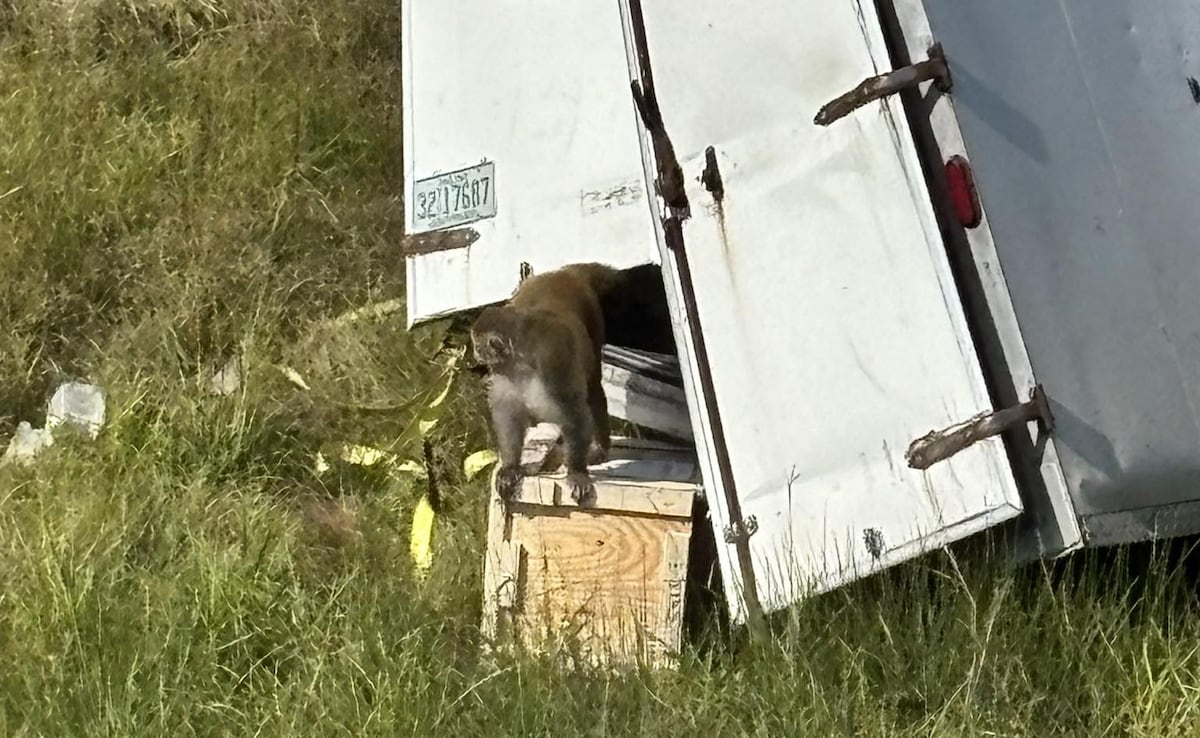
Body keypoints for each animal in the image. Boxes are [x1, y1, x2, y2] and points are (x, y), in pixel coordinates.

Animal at [470, 262, 625, 505]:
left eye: (478, 345)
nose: (475, 353)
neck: (521, 362)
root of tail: (563, 273)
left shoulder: (553, 361)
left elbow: (574, 412)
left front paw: (577, 472)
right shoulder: (504, 375)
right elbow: (509, 415)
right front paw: (511, 467)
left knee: (592, 387)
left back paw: (600, 447)